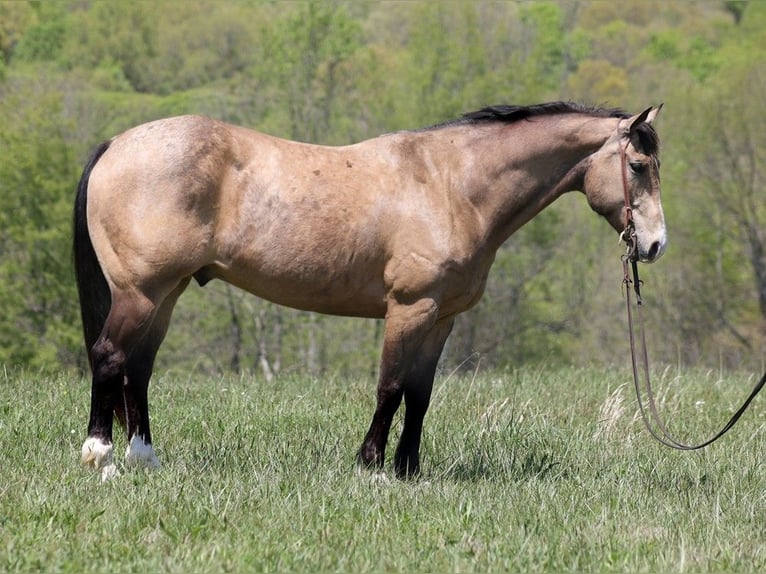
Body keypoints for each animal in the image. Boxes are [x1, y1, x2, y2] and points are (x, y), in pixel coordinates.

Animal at [75, 102, 668, 482]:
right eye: (639, 166)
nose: (656, 244)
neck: (452, 185)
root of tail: (114, 145)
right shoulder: (409, 308)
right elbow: (390, 387)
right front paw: (372, 467)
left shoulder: (442, 318)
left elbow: (420, 394)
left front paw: (408, 470)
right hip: (140, 292)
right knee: (110, 356)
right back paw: (100, 456)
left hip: (166, 292)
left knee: (139, 367)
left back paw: (144, 459)